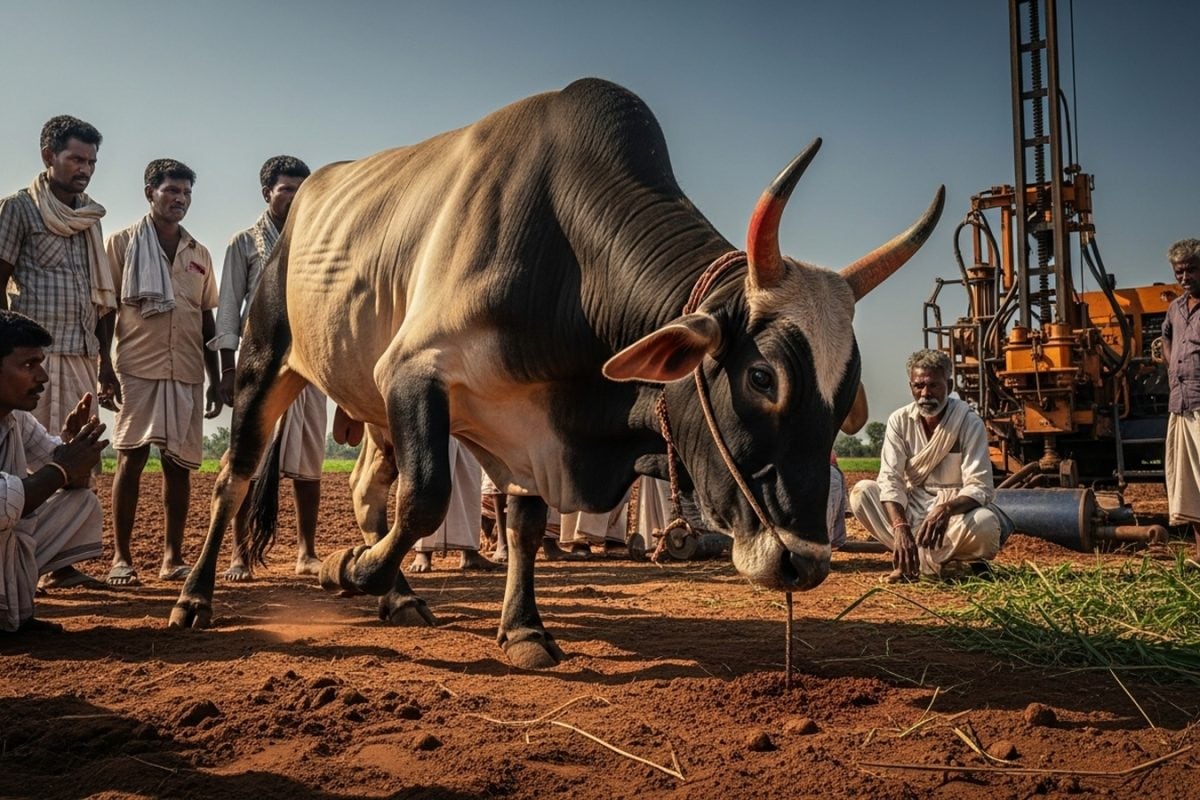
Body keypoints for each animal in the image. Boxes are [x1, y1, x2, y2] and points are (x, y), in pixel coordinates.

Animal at [170, 78, 942, 669]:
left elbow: (524, 523)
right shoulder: (417, 370)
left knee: (365, 487)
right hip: (266, 367)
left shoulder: (525, 424)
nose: (804, 564)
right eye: (761, 377)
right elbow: (426, 497)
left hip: (376, 407)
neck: (564, 255)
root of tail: (300, 205)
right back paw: (197, 598)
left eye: (842, 395)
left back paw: (399, 596)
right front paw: (350, 566)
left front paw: (523, 629)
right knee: (235, 478)